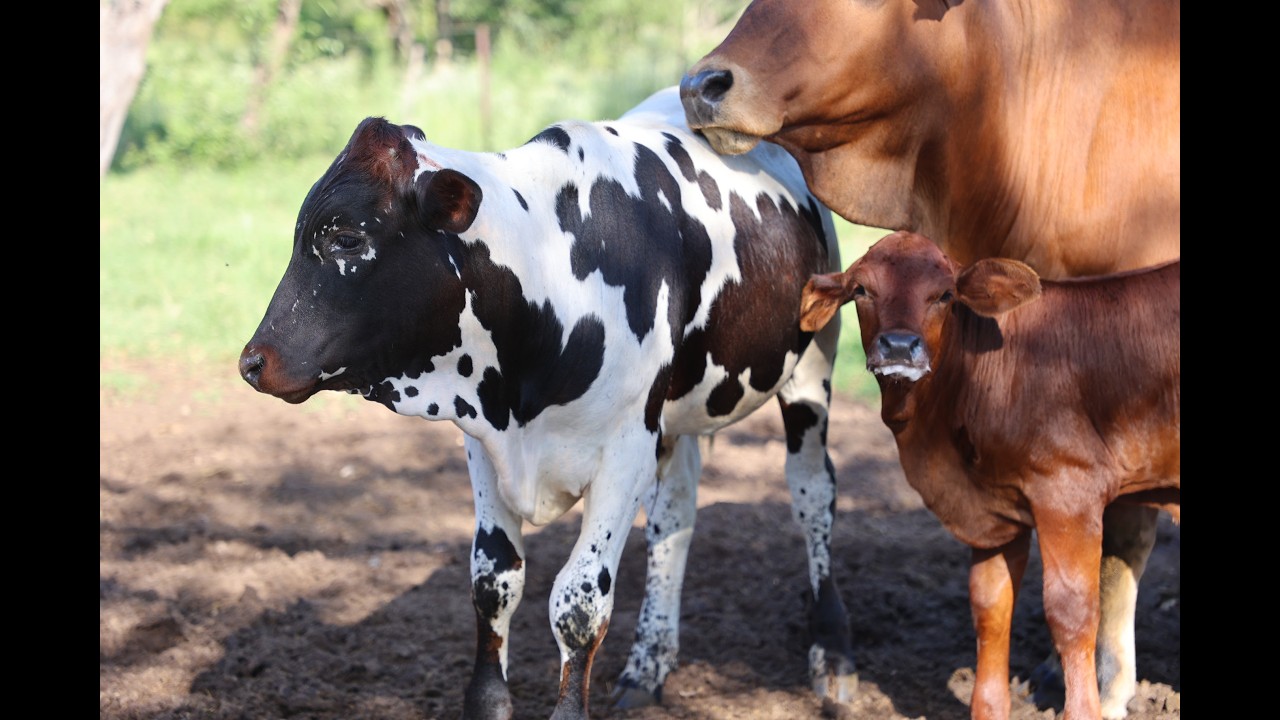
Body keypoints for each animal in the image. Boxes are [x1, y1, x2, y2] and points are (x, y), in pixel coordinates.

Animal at [237, 87, 857, 720]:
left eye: (347, 238)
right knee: (674, 517)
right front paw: (488, 701)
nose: (253, 362)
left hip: (812, 369)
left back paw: (831, 652)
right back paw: (649, 663)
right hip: (678, 417)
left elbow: (578, 604)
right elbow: (494, 581)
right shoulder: (485, 442)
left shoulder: (625, 451)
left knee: (813, 494)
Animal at [798, 230, 1179, 720]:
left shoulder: (1069, 492)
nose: (899, 346)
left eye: (945, 295)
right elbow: (990, 606)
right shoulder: (993, 514)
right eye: (861, 289)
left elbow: (1072, 612)